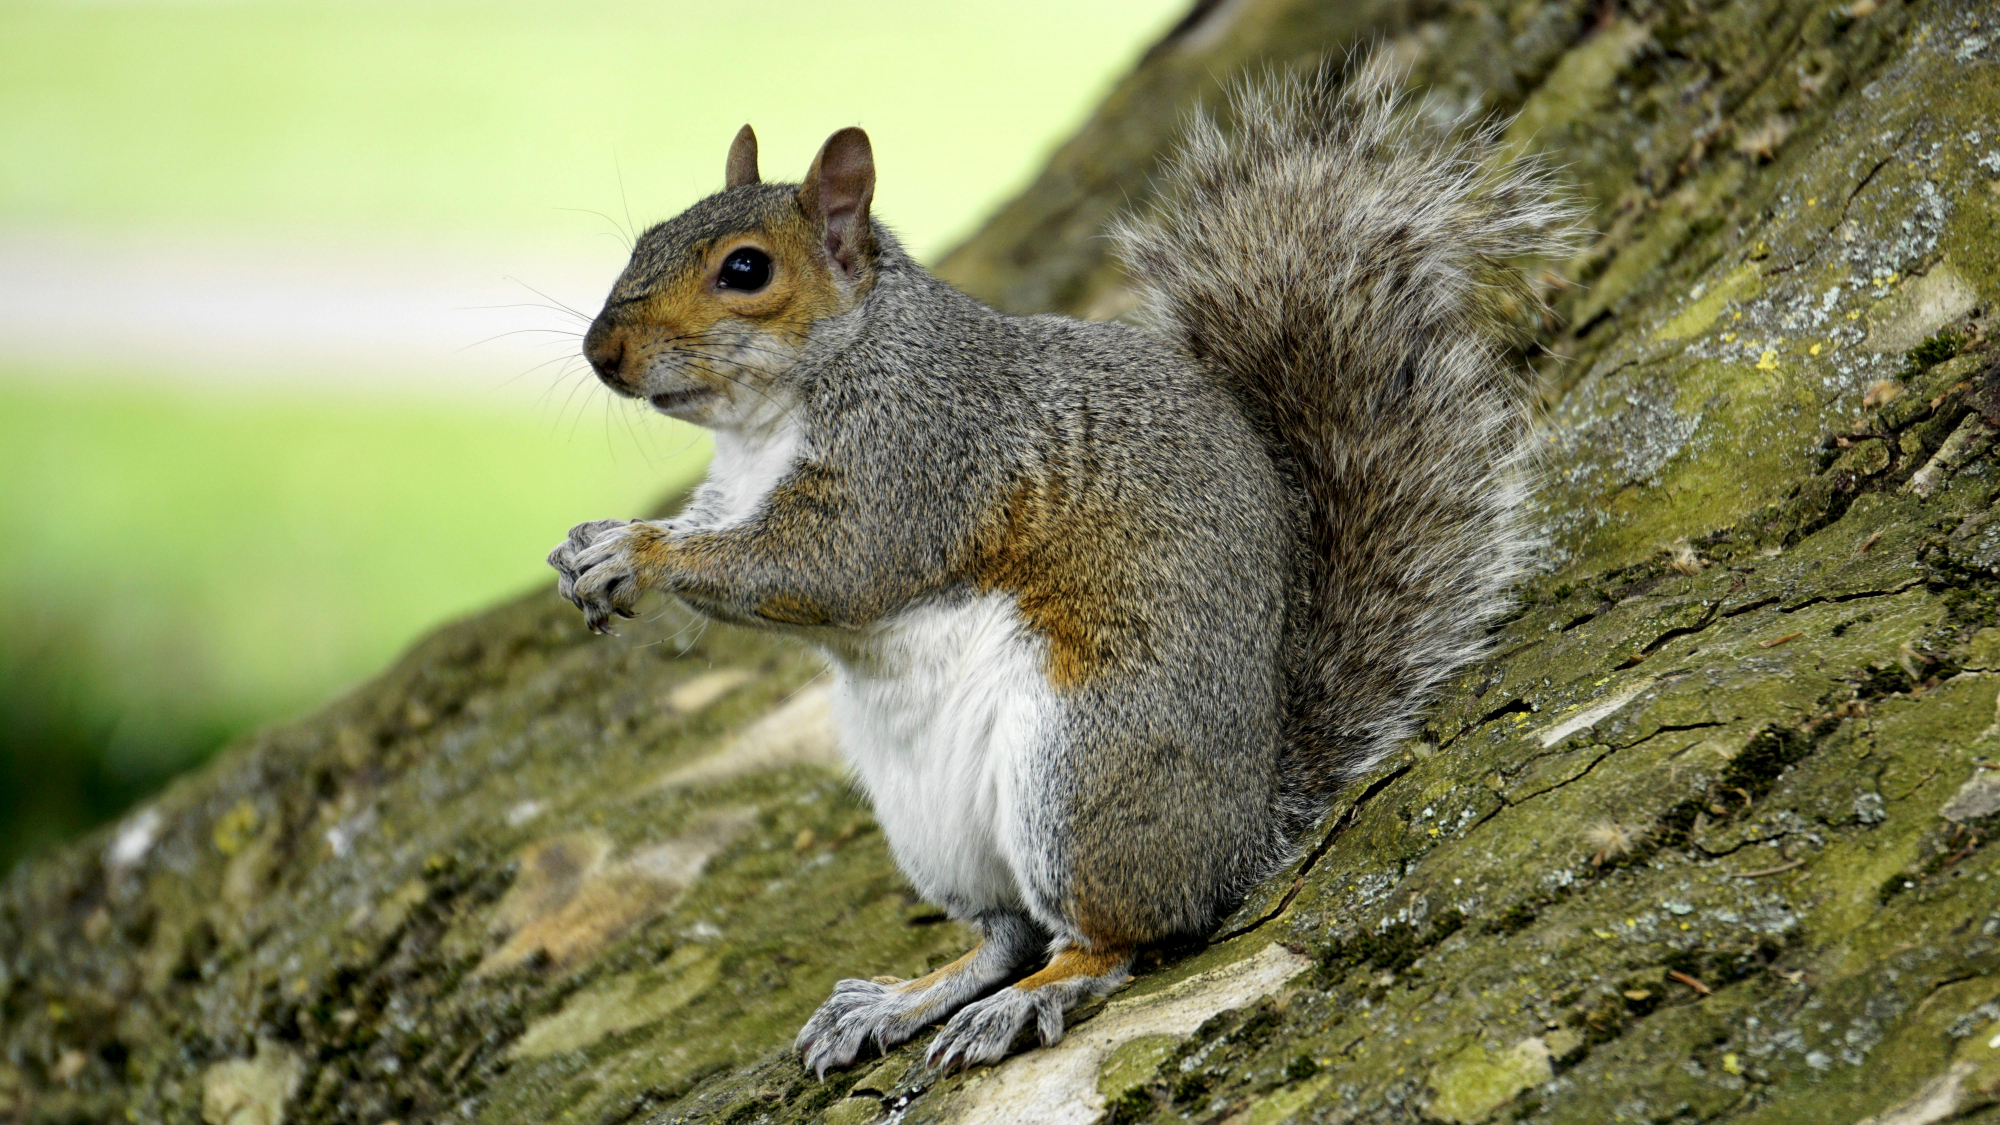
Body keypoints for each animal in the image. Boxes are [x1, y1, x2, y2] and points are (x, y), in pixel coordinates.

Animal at [547, 65, 1577, 1075]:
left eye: (746, 269)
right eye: (646, 237)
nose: (601, 352)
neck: (775, 414)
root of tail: (1243, 831)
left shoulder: (916, 458)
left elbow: (827, 568)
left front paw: (639, 554)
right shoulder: (737, 489)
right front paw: (590, 544)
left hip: (1081, 771)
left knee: (1115, 938)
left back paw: (1029, 1000)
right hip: (934, 823)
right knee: (1007, 932)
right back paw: (904, 998)